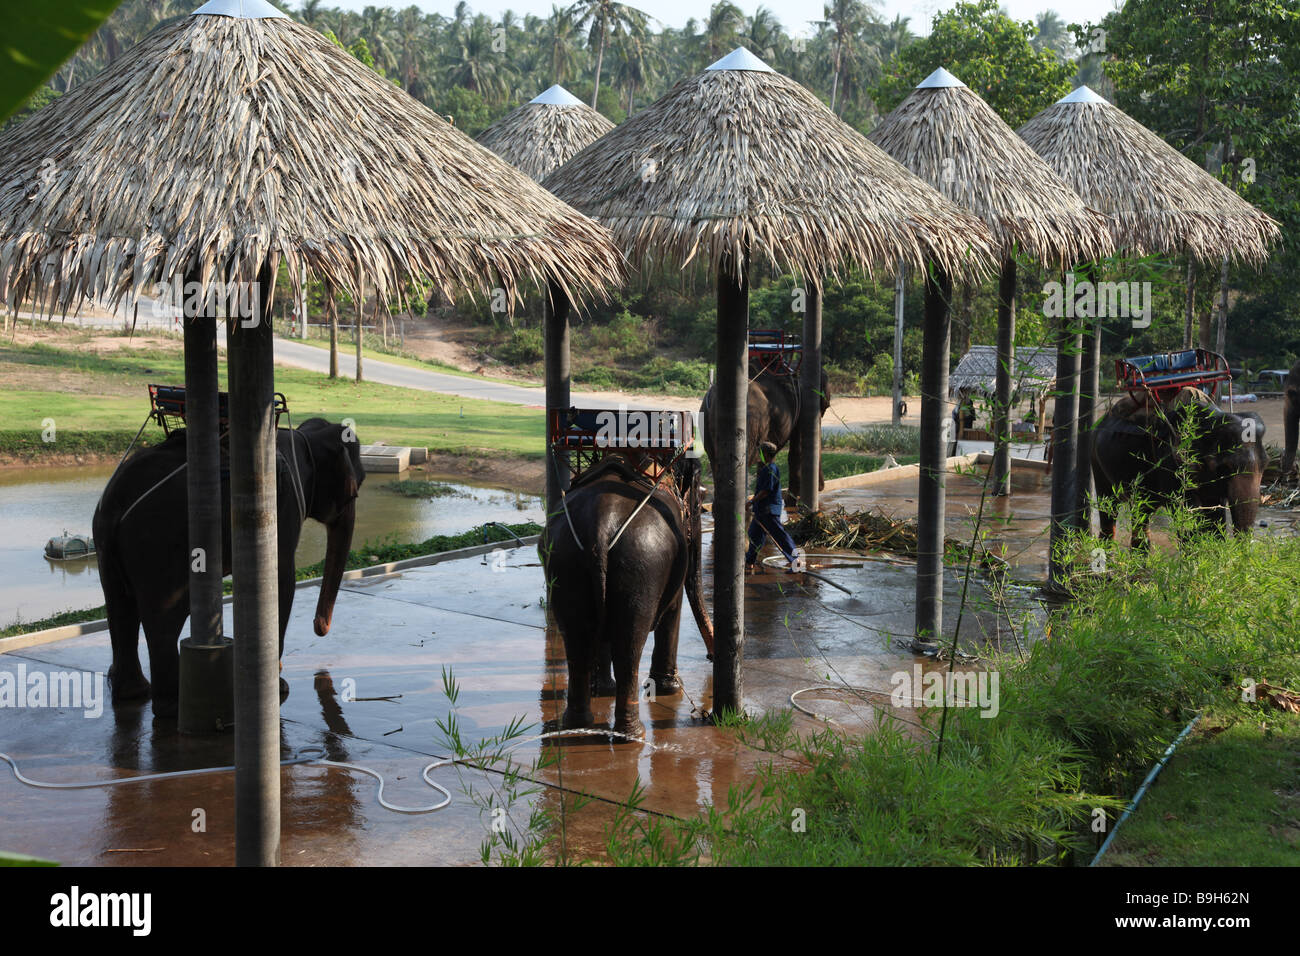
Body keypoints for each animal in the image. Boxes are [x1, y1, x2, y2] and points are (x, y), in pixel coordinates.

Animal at [94, 416, 364, 712]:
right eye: (355, 492)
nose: (320, 627)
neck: (304, 437)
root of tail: (117, 507)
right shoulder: (285, 505)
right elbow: (282, 579)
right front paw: (279, 686)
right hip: (158, 545)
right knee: (164, 618)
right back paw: (171, 704)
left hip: (106, 545)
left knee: (120, 607)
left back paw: (135, 694)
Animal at [540, 452, 717, 738]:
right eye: (701, 497)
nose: (711, 656)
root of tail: (600, 527)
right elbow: (674, 608)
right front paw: (669, 689)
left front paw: (603, 689)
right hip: (642, 564)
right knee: (629, 646)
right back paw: (633, 734)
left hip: (564, 561)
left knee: (577, 641)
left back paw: (579, 724)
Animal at [702, 361, 832, 504]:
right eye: (826, 406)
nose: (821, 487)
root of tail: (713, 399)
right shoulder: (802, 405)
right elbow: (796, 450)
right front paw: (790, 502)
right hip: (749, 423)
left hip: (705, 423)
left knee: (716, 464)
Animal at [1092, 390, 1263, 548]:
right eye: (1225, 467)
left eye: (1265, 465)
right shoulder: (1171, 462)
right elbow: (1187, 515)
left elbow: (1214, 514)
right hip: (1097, 462)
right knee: (1108, 507)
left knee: (1141, 513)